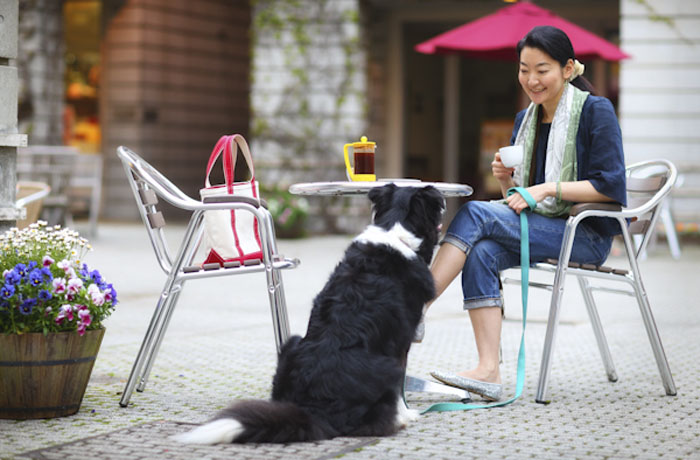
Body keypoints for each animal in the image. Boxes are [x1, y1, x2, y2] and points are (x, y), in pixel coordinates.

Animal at [175, 185, 446, 444]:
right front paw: (408, 414)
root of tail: (314, 407)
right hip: (386, 366)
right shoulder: (401, 340)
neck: (395, 231)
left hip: (291, 343)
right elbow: (401, 388)